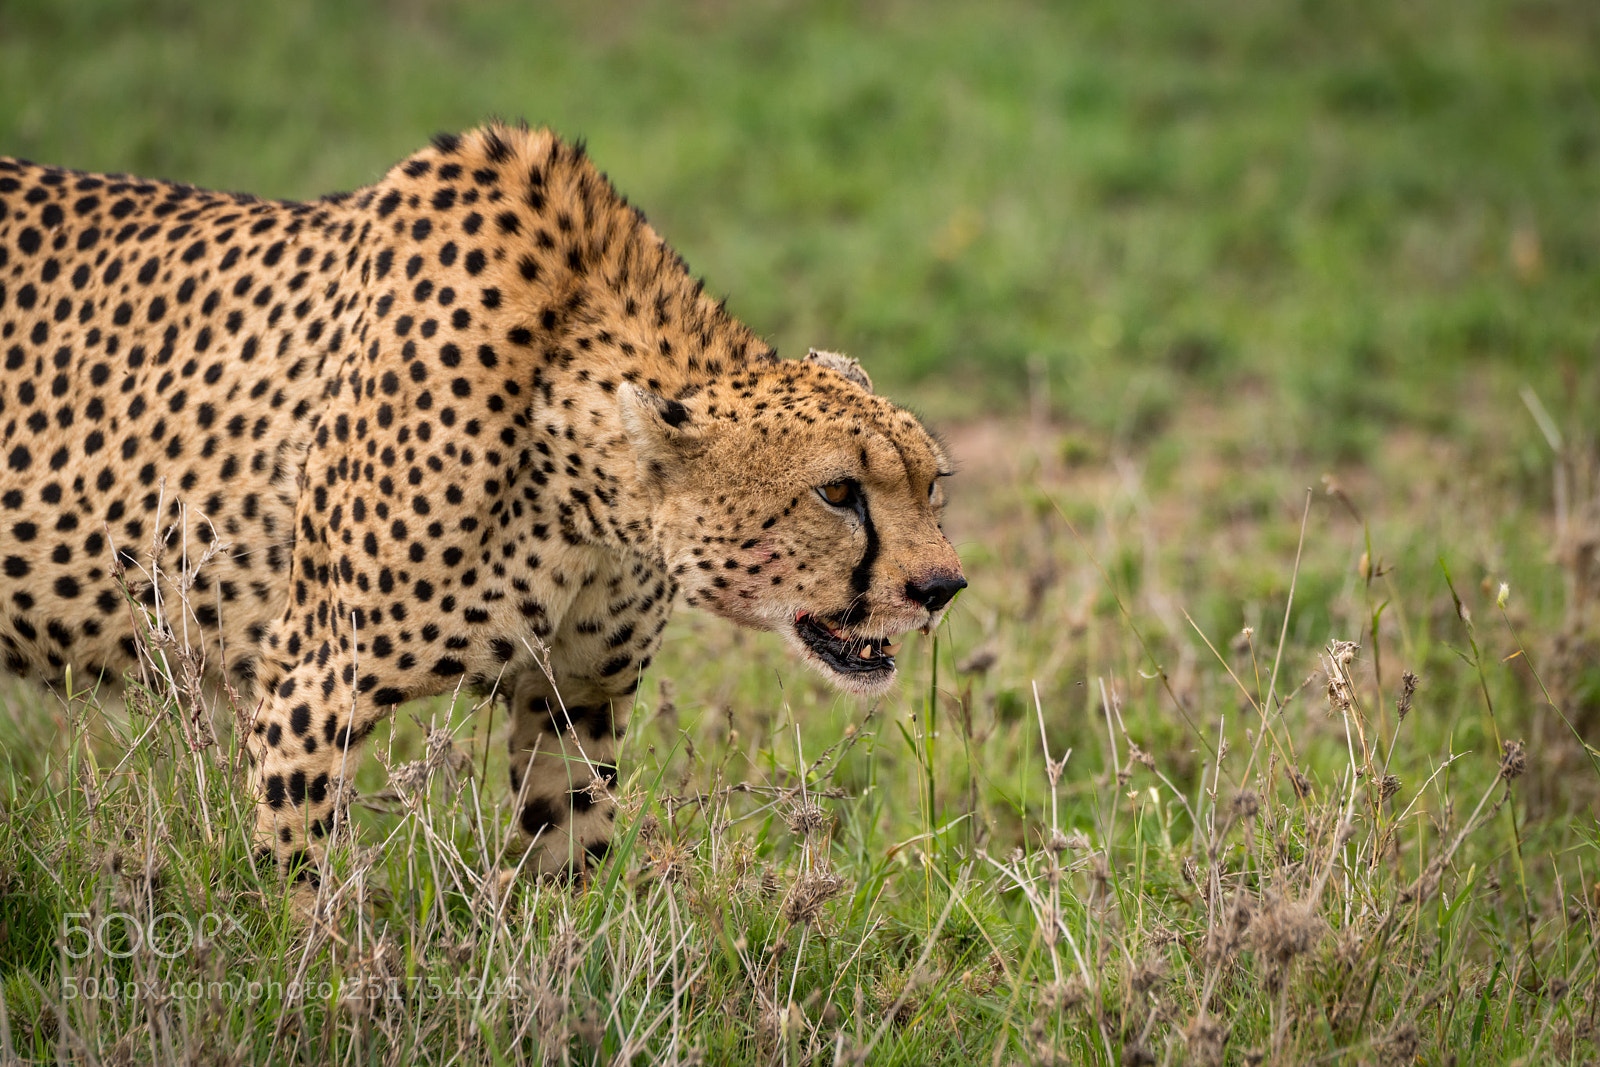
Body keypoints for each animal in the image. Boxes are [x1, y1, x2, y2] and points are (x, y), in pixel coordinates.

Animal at [0, 122, 965, 882]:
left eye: (931, 484)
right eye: (837, 491)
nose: (942, 588)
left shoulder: (575, 696)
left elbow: (564, 865)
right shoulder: (308, 689)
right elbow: (299, 901)